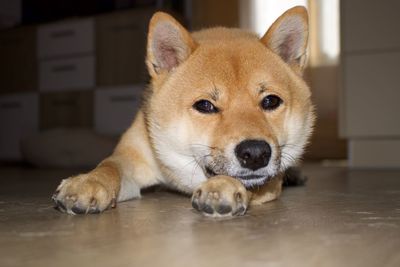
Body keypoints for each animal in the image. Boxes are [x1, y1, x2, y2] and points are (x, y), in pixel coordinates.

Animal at [52, 6, 316, 218]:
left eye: (271, 101)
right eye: (205, 106)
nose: (256, 153)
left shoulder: (269, 181)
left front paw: (223, 186)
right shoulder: (133, 156)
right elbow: (109, 167)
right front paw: (87, 182)